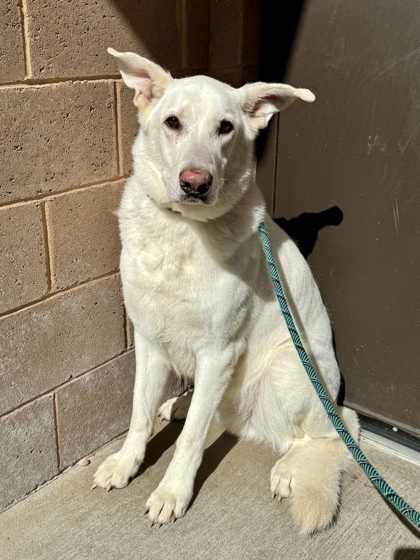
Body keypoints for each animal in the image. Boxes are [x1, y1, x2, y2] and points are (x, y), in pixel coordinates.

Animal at [93, 50, 360, 536]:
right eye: (173, 122)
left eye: (226, 127)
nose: (195, 183)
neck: (180, 230)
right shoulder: (148, 339)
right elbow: (138, 414)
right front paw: (125, 464)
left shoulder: (219, 351)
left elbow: (191, 440)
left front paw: (172, 493)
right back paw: (181, 404)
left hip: (288, 369)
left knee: (337, 428)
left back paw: (290, 469)